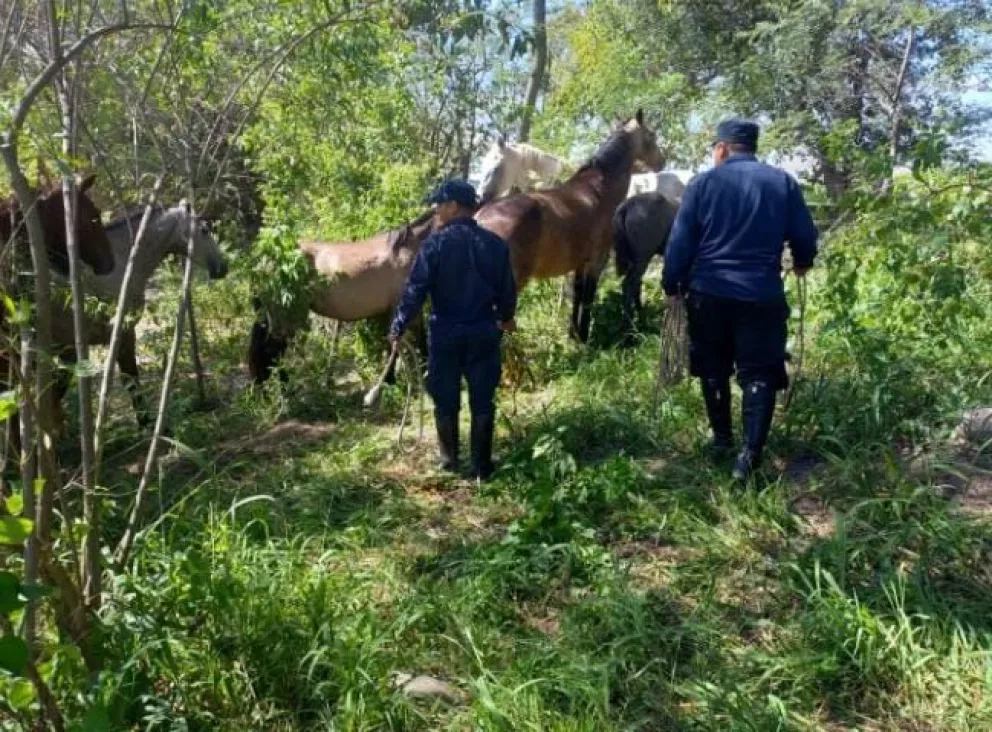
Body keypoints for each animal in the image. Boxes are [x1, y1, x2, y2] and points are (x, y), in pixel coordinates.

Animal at [49, 201, 228, 426]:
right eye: (204, 230)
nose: (223, 268)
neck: (123, 262)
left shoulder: (70, 350)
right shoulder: (124, 334)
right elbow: (131, 380)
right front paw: (145, 422)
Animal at [247, 211, 436, 390]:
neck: (408, 249)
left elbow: (409, 342)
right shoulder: (401, 308)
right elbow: (403, 345)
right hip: (287, 319)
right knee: (270, 354)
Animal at [475, 110, 665, 342]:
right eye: (652, 135)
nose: (662, 161)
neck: (598, 190)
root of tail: (480, 219)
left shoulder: (579, 265)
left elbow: (576, 295)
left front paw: (573, 335)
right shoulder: (596, 262)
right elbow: (588, 298)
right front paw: (584, 338)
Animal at [612, 191, 681, 339]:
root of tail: (626, 206)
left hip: (638, 259)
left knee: (636, 283)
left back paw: (641, 319)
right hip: (643, 257)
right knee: (630, 284)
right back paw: (629, 329)